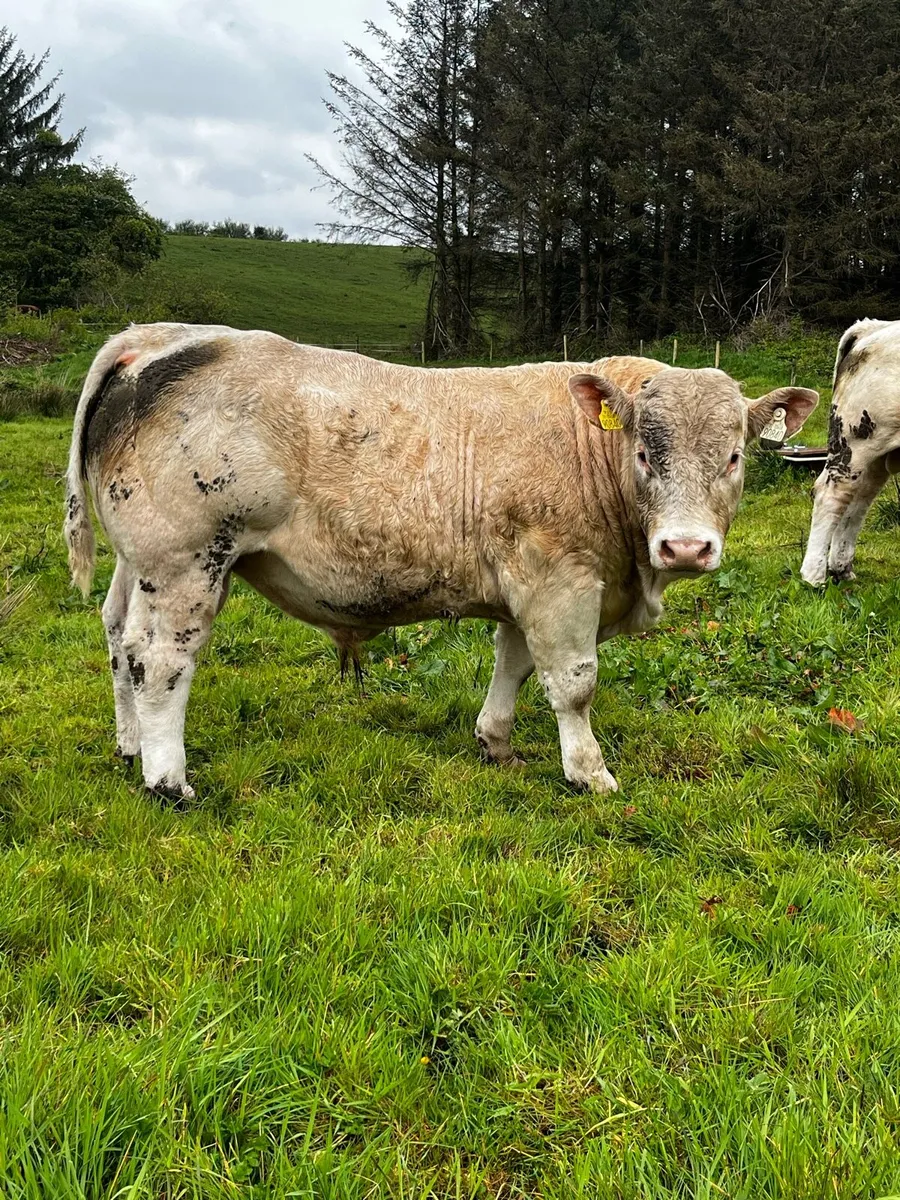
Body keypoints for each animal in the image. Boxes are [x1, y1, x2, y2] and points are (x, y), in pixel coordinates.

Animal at [63, 324, 818, 801]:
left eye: (734, 456)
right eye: (643, 453)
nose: (686, 547)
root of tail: (159, 337)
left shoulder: (525, 583)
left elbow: (513, 665)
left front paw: (497, 743)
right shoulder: (561, 580)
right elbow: (573, 684)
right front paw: (589, 773)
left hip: (143, 564)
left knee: (119, 637)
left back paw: (131, 746)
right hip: (188, 562)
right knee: (161, 660)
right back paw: (167, 779)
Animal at [801, 319, 900, 585]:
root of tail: (873, 327)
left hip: (874, 452)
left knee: (858, 499)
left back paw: (841, 567)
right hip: (855, 439)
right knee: (831, 494)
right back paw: (813, 576)